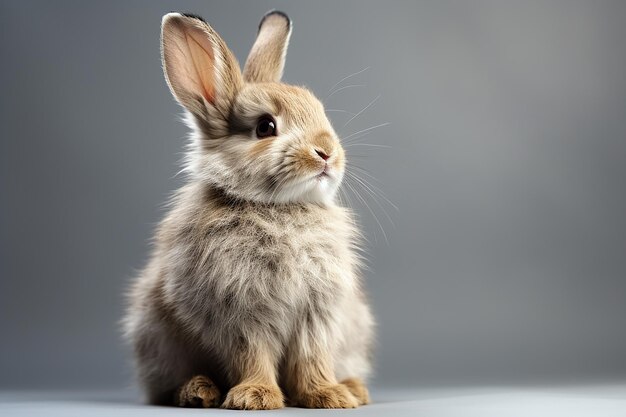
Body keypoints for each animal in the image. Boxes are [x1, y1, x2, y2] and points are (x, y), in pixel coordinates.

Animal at [124, 10, 372, 410]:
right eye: (265, 127)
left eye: (320, 114)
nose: (326, 152)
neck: (277, 206)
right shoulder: (240, 312)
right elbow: (251, 354)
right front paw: (255, 396)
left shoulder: (317, 312)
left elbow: (312, 356)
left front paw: (329, 395)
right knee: (164, 389)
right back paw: (198, 391)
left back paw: (354, 388)